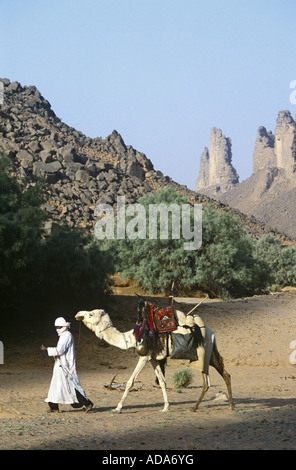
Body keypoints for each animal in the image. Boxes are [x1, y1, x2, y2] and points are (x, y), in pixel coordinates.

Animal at [75, 306, 235, 414]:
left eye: (90, 314)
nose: (78, 314)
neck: (131, 338)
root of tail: (211, 333)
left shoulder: (144, 356)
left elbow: (130, 382)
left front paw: (118, 408)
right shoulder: (153, 358)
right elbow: (163, 382)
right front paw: (165, 407)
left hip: (204, 354)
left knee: (207, 382)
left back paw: (194, 408)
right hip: (211, 354)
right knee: (225, 374)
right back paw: (231, 406)